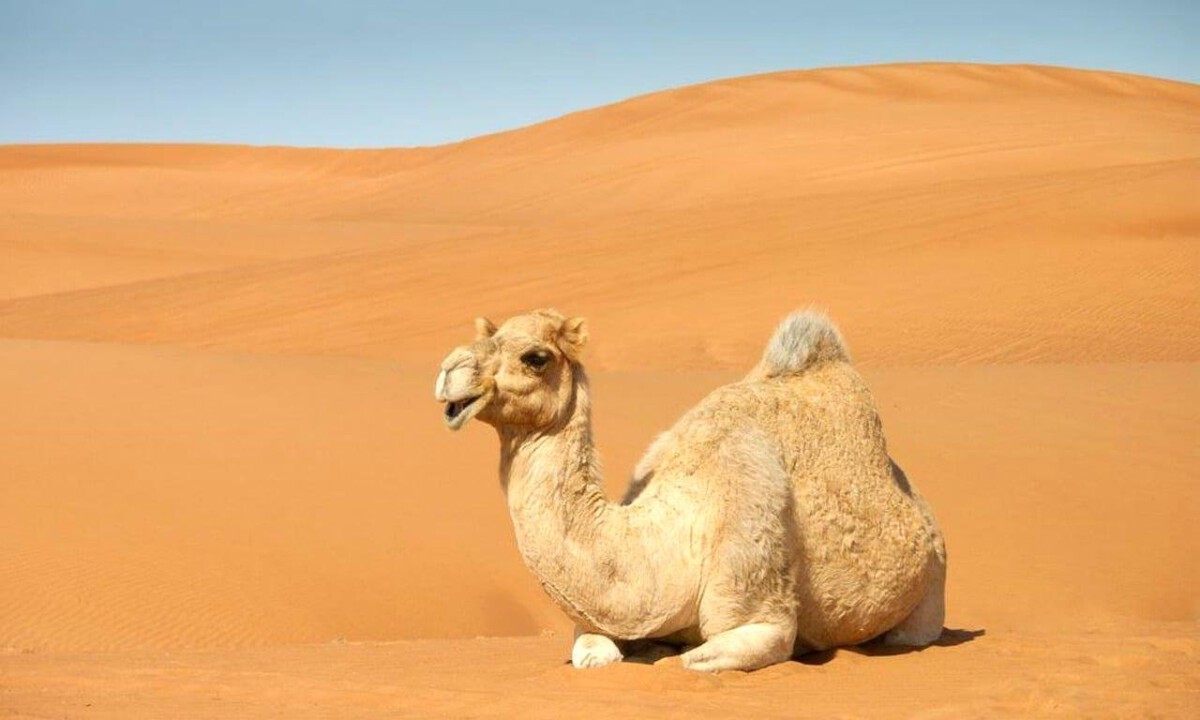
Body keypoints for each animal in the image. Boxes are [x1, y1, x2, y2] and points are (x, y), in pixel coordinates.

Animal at [435, 309, 946, 672]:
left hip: (933, 585)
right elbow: (591, 652)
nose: (448, 370)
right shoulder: (603, 618)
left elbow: (696, 659)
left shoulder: (758, 614)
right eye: (491, 334)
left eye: (536, 357)